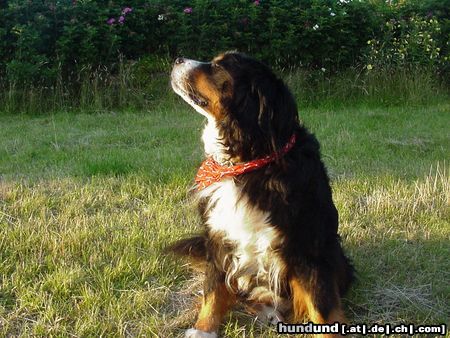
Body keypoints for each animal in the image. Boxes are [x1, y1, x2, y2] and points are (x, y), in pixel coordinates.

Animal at [169, 50, 356, 338]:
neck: (249, 161)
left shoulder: (310, 248)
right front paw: (203, 329)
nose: (177, 59)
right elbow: (214, 288)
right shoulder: (219, 238)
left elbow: (322, 304)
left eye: (219, 66)